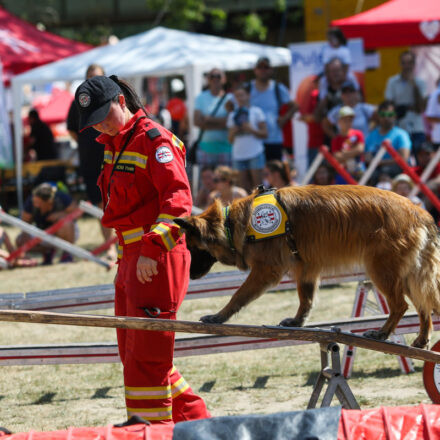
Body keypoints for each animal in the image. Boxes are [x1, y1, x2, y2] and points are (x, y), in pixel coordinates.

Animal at [174, 183, 440, 348]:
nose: (189, 275)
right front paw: (297, 321)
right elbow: (306, 299)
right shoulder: (306, 269)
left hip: (381, 271)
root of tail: (421, 213)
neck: (234, 224)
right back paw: (421, 339)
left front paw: (219, 316)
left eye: (191, 248)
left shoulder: (265, 271)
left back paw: (383, 333)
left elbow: (237, 295)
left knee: (401, 305)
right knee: (424, 306)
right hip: (408, 276)